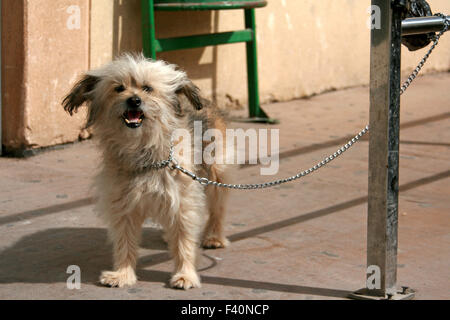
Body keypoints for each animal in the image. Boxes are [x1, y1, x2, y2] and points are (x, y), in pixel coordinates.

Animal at [62, 53, 229, 288]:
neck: (144, 151)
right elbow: (125, 241)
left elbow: (184, 241)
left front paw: (185, 274)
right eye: (119, 88)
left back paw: (214, 236)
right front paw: (123, 274)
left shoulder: (182, 201)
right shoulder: (122, 205)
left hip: (216, 175)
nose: (134, 100)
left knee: (217, 209)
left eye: (148, 88)